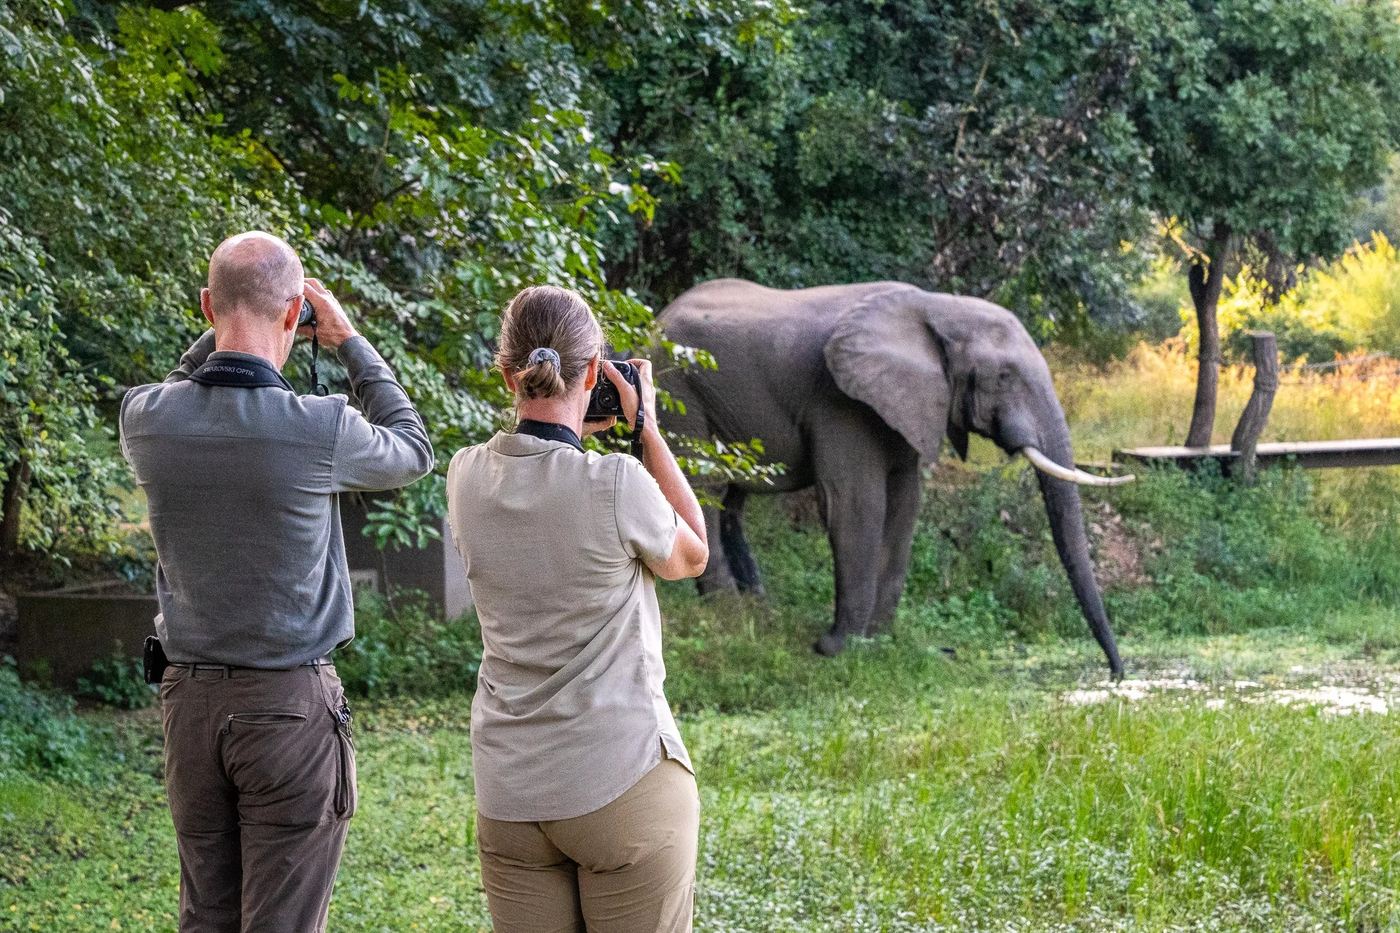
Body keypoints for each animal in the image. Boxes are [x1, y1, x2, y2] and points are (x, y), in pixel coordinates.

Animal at [656, 279, 1133, 678]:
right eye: (1003, 377)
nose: (1116, 674)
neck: (938, 308)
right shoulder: (839, 399)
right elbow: (856, 503)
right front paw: (836, 648)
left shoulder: (905, 401)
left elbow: (905, 503)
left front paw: (878, 641)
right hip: (678, 392)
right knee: (706, 490)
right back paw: (728, 615)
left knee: (732, 499)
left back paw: (758, 611)